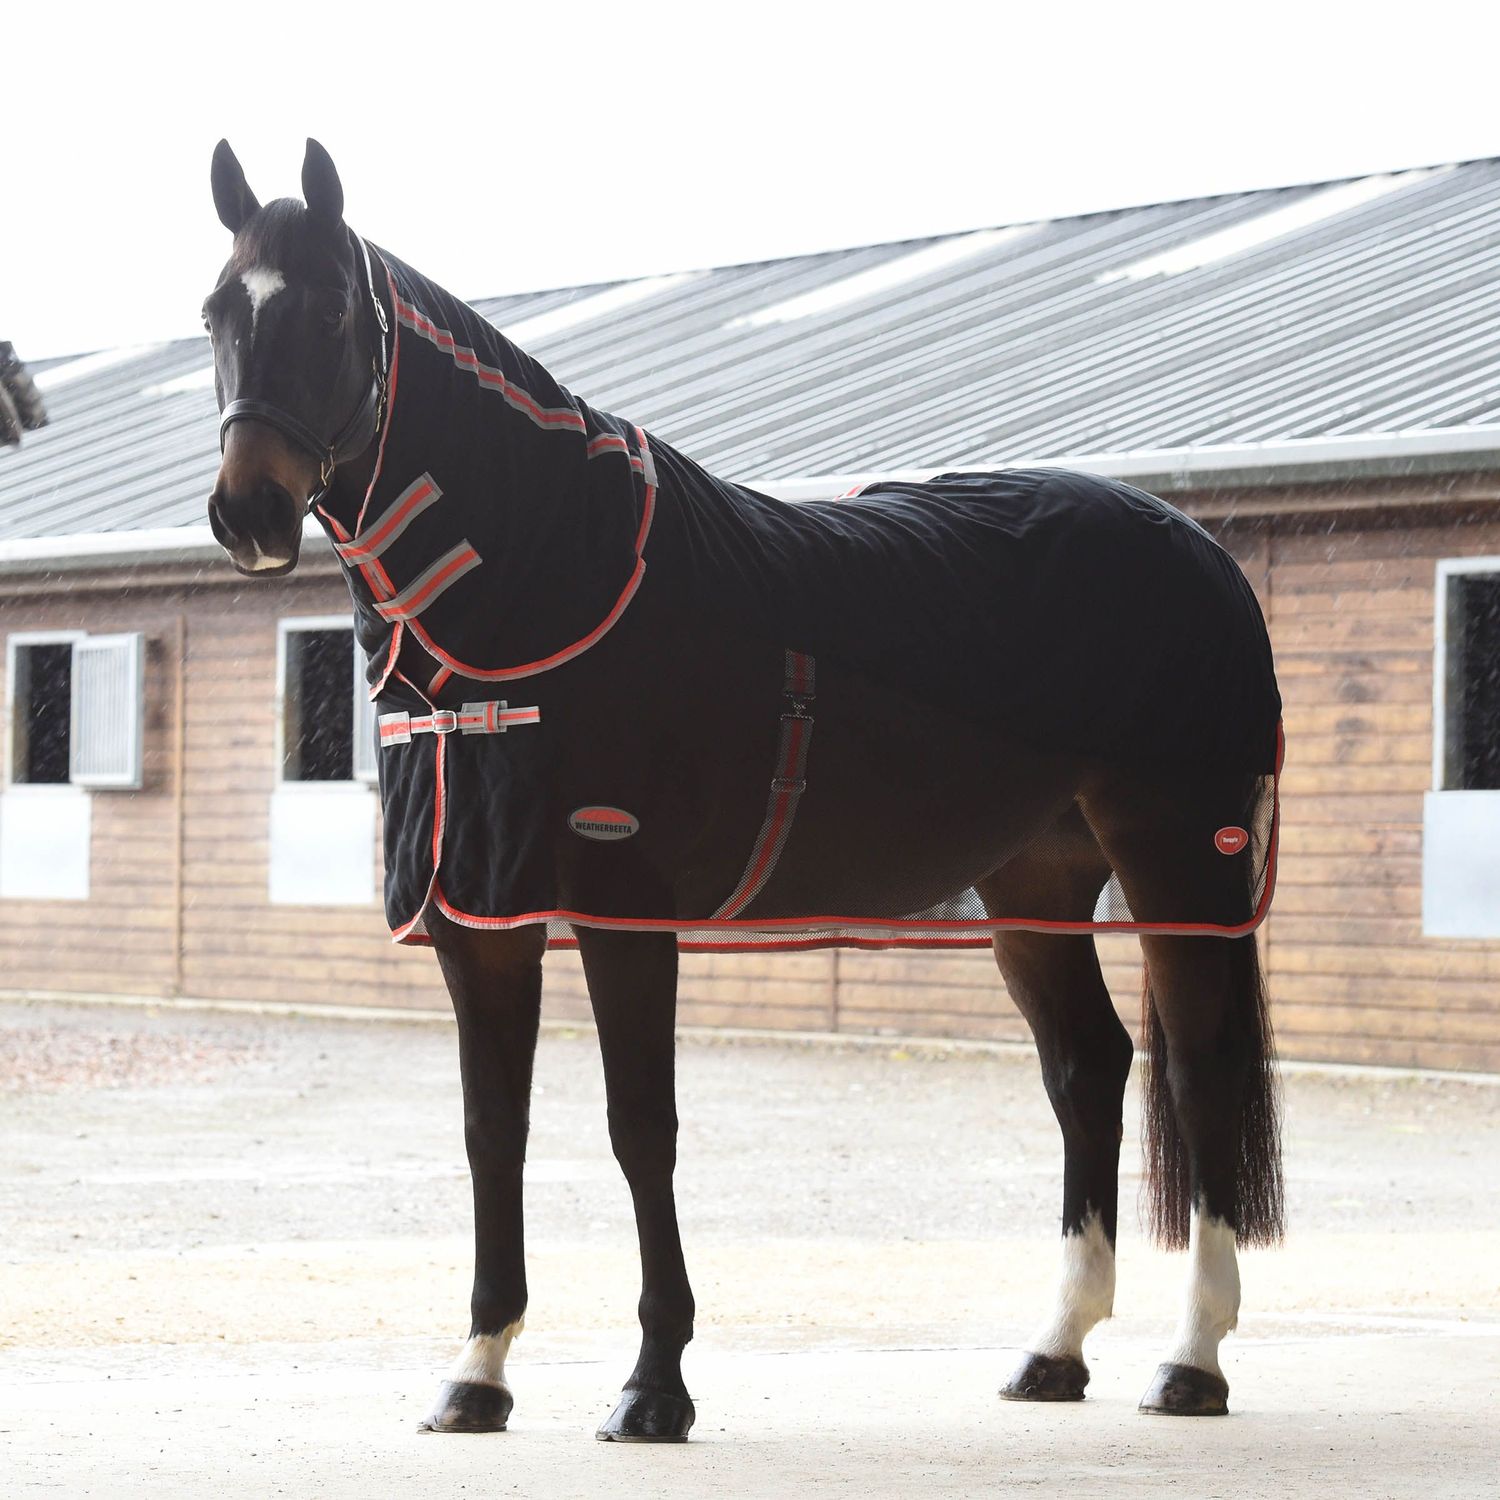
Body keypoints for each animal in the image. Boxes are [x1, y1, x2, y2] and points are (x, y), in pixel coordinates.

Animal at [202, 138, 1284, 1440]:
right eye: (217, 312)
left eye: (327, 310)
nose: (248, 513)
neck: (548, 590)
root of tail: (1201, 550)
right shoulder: (483, 926)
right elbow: (490, 1132)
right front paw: (477, 1373)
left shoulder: (622, 912)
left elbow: (640, 1130)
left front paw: (653, 1385)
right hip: (1035, 884)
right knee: (1090, 1071)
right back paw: (1055, 1350)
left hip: (1180, 861)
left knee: (1201, 1072)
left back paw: (1194, 1361)